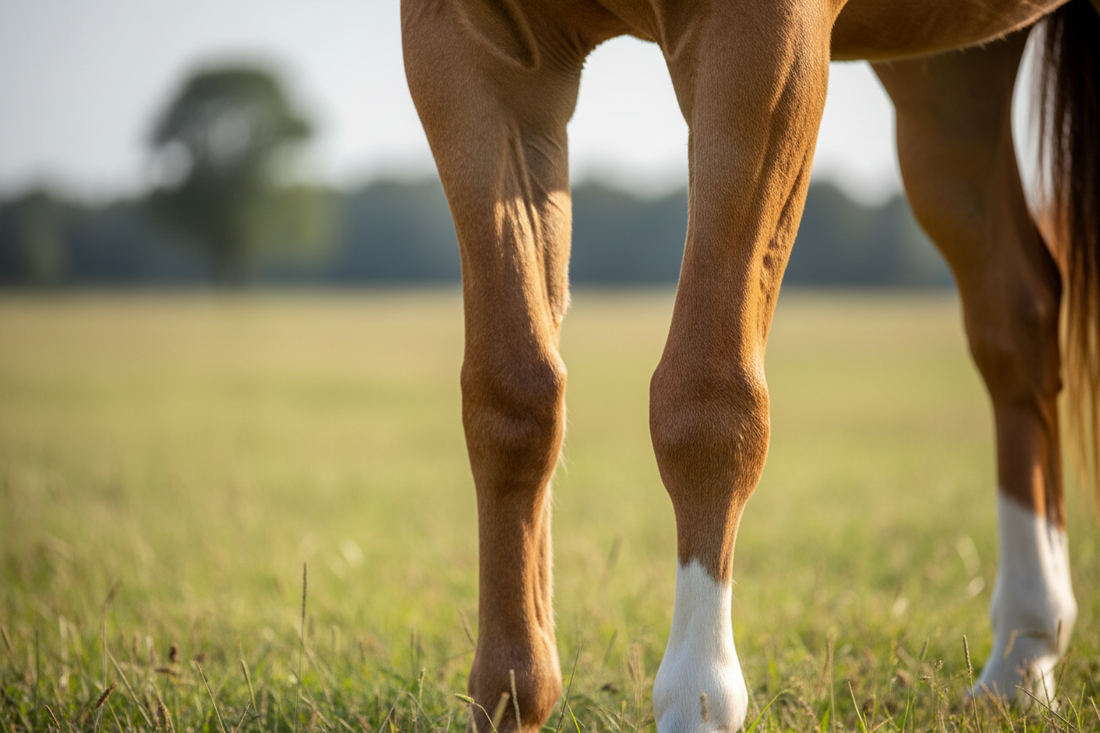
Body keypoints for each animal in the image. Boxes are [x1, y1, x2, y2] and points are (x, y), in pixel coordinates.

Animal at [400, 0, 1100, 728]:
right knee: (1015, 314)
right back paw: (1022, 659)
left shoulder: (763, 38)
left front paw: (698, 697)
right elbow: (512, 399)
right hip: (950, 76)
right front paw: (513, 691)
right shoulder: (464, 47)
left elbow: (707, 398)